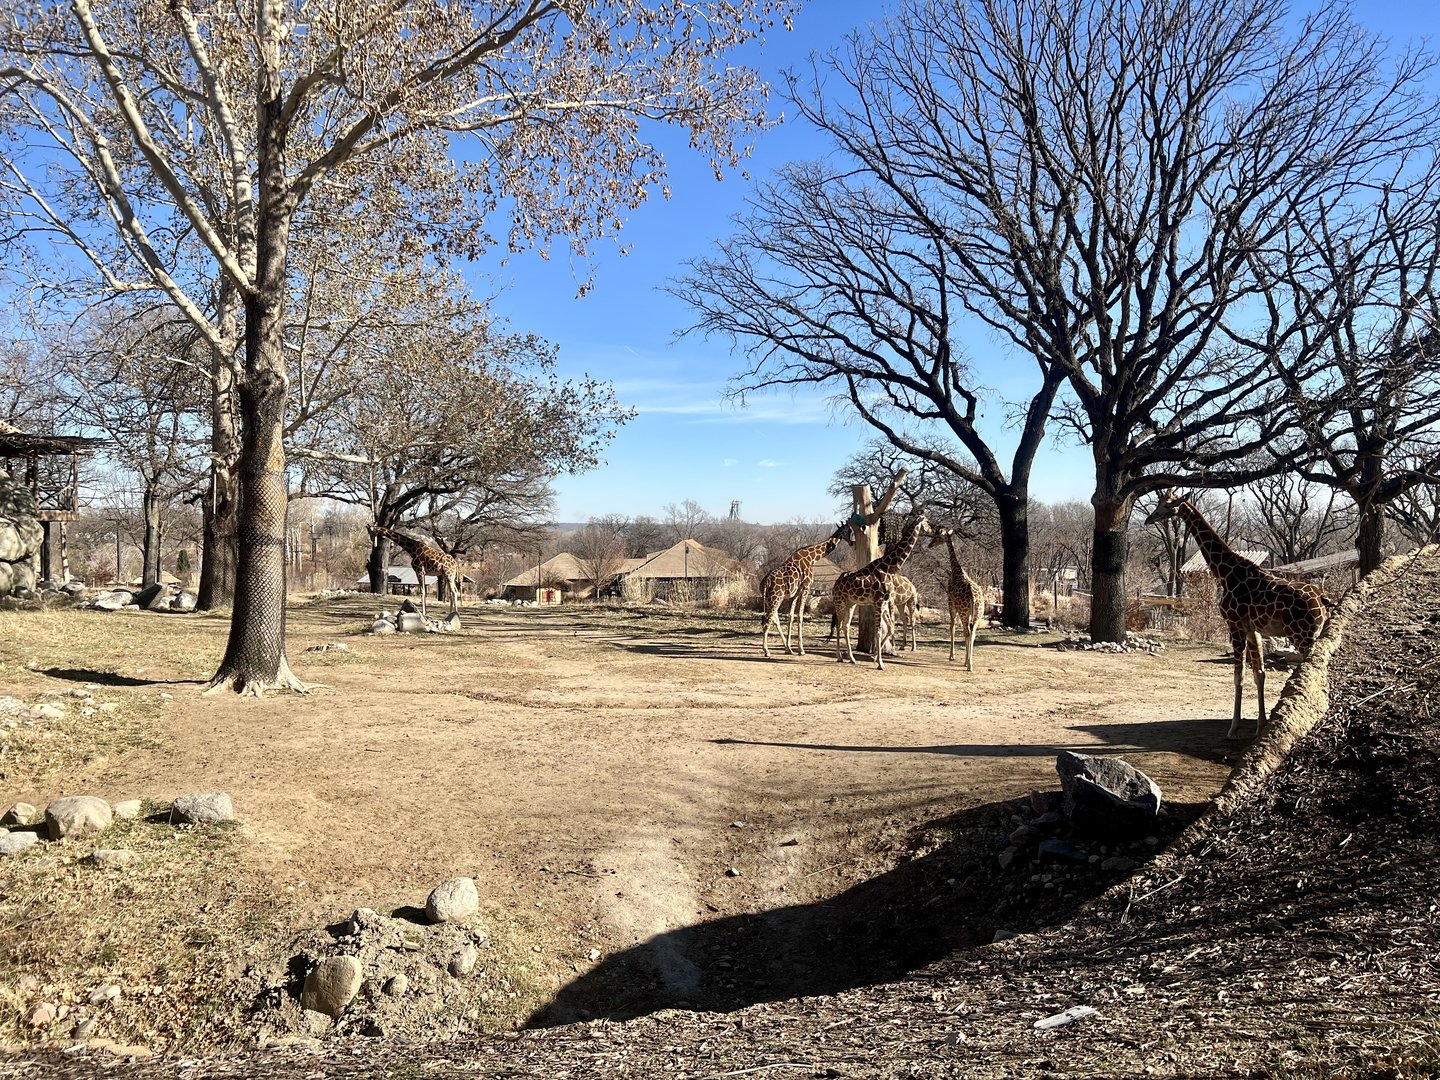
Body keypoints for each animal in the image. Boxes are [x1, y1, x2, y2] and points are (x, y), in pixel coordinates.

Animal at [761, 522, 854, 657]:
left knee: (772, 619)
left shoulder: (794, 594)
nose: (852, 542)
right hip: (775, 598)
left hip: (769, 599)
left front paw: (789, 648)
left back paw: (779, 648)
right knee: (767, 620)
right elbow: (800, 616)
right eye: (849, 530)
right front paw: (801, 650)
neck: (812, 558)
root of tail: (764, 583)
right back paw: (766, 651)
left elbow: (791, 617)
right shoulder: (805, 589)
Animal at [832, 513, 933, 670]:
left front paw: (875, 657)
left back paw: (852, 658)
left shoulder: (884, 602)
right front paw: (880, 663)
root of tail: (835, 584)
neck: (889, 567)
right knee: (838, 625)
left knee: (845, 625)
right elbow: (879, 631)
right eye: (927, 522)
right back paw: (839, 657)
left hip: (851, 603)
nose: (931, 530)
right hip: (840, 602)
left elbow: (889, 628)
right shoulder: (879, 602)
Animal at [928, 528, 984, 671]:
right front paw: (962, 659)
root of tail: (975, 598)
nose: (930, 544)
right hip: (977, 614)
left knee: (967, 632)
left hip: (964, 613)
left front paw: (952, 656)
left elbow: (952, 626)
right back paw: (969, 663)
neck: (957, 570)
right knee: (972, 634)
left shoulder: (951, 603)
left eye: (937, 536)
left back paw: (969, 665)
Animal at [1145, 493, 1331, 739]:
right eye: (1159, 503)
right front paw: (1260, 725)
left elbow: (1238, 676)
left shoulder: (1234, 625)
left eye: (1167, 505)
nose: (1149, 518)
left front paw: (1233, 728)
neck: (1225, 572)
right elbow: (1259, 673)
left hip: (1303, 636)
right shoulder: (1252, 630)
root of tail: (1323, 599)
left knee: (1318, 670)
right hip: (1310, 635)